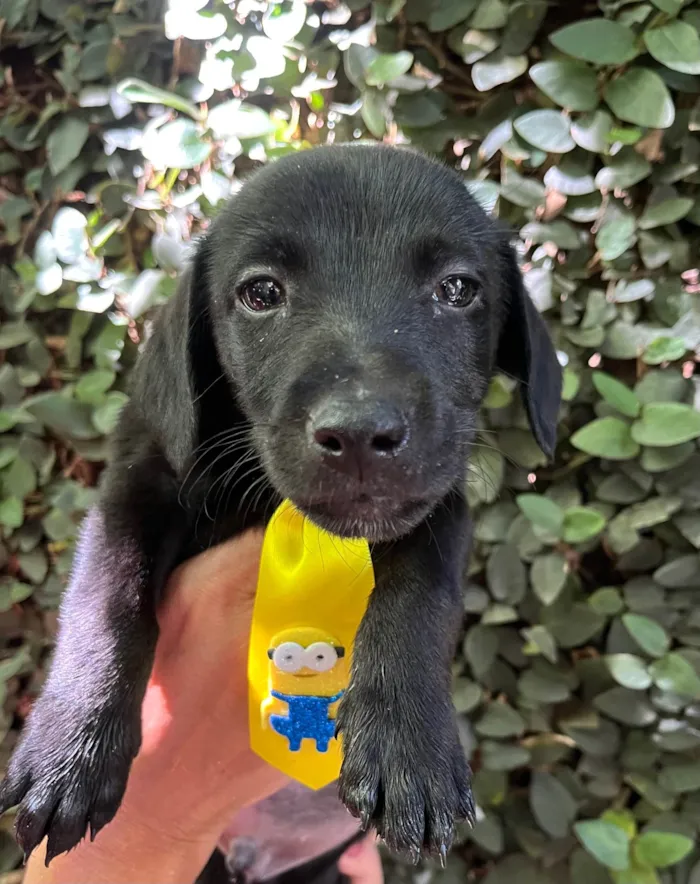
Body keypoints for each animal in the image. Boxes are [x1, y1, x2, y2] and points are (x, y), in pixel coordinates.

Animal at [0, 143, 556, 864]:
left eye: (457, 289)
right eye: (261, 293)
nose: (359, 433)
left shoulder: (439, 501)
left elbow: (421, 590)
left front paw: (410, 745)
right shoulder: (134, 487)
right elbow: (106, 594)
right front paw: (74, 748)